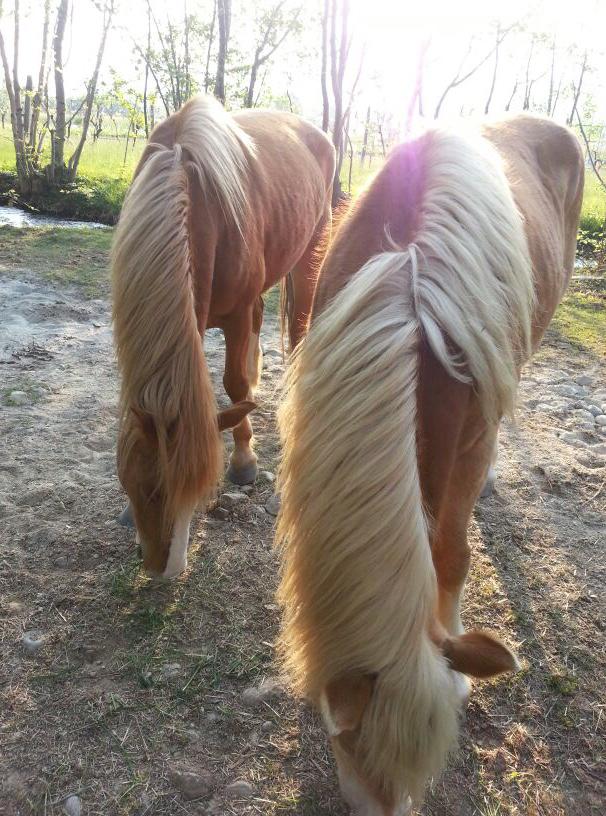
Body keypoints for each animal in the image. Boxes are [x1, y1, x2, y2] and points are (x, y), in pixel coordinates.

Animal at [112, 95, 335, 578]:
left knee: (299, 328)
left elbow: (232, 386)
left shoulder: (234, 314)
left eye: (197, 489)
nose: (164, 567)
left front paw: (245, 461)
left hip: (309, 256)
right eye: (146, 488)